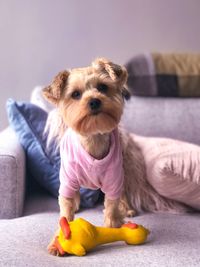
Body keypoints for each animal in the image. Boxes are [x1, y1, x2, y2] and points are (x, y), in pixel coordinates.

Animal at [42, 58, 188, 255]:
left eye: (103, 87)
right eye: (75, 94)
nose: (94, 101)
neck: (93, 138)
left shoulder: (114, 178)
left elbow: (111, 206)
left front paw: (114, 229)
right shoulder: (67, 180)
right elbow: (65, 212)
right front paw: (57, 241)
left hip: (124, 167)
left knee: (123, 192)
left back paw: (127, 209)